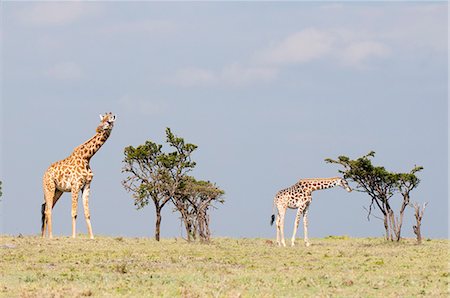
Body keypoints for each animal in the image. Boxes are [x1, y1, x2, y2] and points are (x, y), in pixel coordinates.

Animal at [41, 112, 116, 240]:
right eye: (102, 120)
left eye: (109, 121)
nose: (98, 128)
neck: (87, 157)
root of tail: (44, 174)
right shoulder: (75, 185)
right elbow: (74, 212)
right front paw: (73, 236)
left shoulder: (87, 186)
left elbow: (87, 213)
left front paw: (92, 237)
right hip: (49, 187)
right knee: (47, 210)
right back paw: (50, 236)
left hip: (58, 191)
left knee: (46, 208)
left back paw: (44, 236)